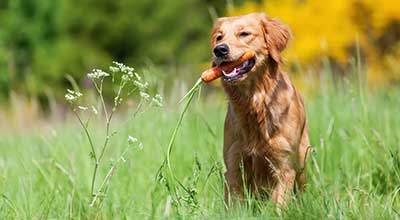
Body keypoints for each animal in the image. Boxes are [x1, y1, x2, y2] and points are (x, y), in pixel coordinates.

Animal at [211, 12, 310, 206]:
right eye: (219, 37)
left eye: (244, 34)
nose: (219, 50)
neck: (254, 101)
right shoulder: (234, 163)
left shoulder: (284, 164)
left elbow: (280, 203)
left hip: (302, 160)